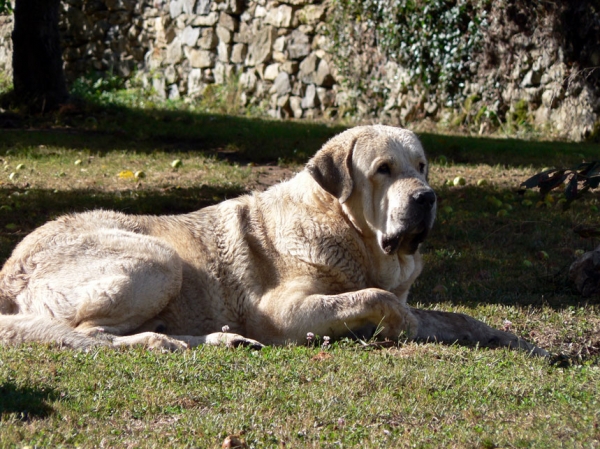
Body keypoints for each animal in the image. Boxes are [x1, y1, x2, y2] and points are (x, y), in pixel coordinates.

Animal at [0, 124, 548, 356]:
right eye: (384, 170)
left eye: (422, 167)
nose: (426, 198)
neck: (349, 234)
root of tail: (11, 267)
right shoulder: (281, 312)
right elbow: (379, 299)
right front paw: (397, 327)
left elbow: (453, 316)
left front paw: (514, 340)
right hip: (159, 259)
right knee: (92, 334)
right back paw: (170, 342)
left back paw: (222, 340)